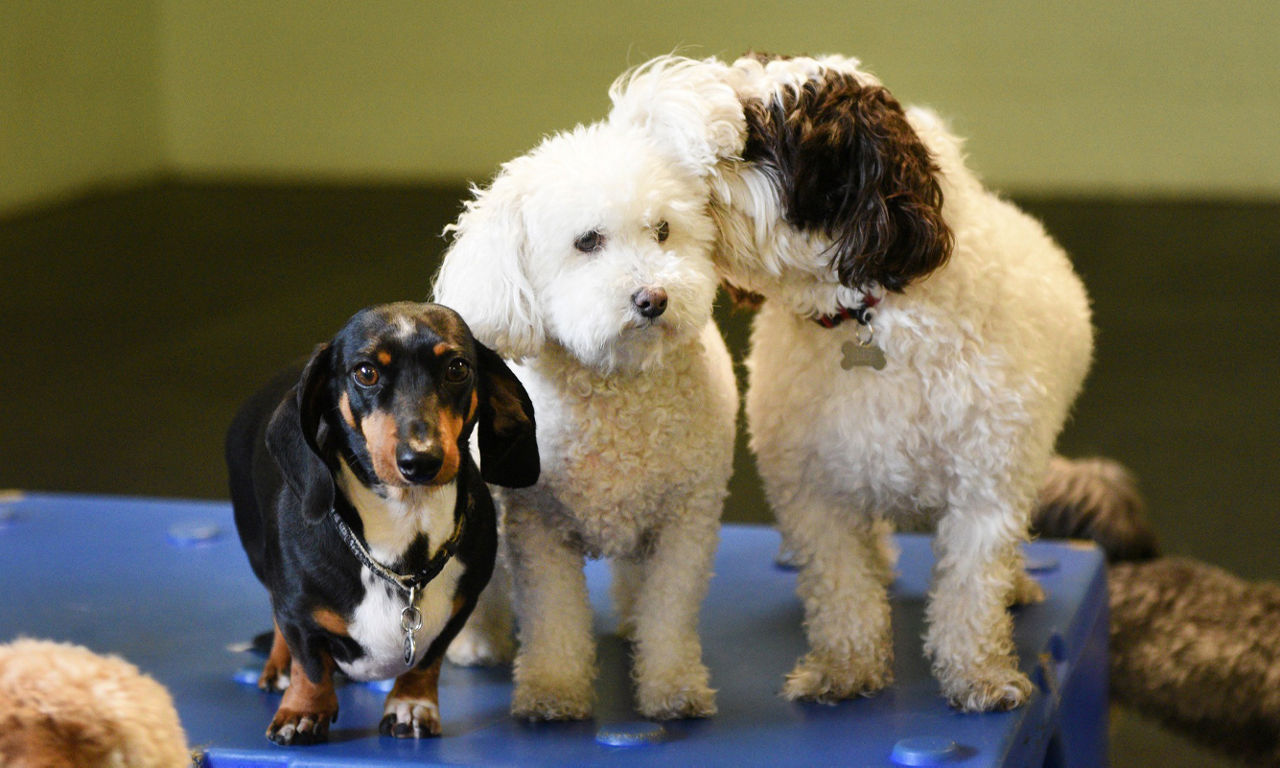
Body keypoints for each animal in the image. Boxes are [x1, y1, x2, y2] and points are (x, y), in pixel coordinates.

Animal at [430, 115, 737, 721]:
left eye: (663, 230)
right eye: (588, 241)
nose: (653, 298)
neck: (618, 384)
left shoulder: (685, 520)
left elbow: (669, 609)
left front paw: (672, 685)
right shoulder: (537, 526)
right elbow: (554, 616)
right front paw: (553, 690)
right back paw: (477, 642)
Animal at [614, 55, 1095, 711]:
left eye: (758, 133)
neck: (866, 315)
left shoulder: (986, 489)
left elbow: (971, 594)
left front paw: (978, 675)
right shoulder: (815, 489)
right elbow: (842, 587)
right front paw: (847, 668)